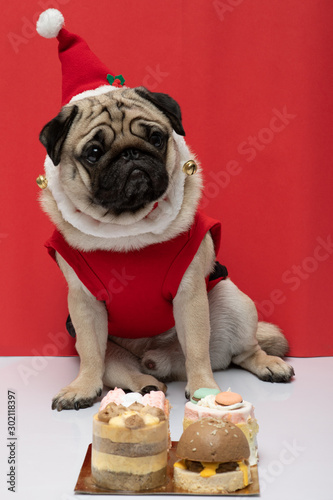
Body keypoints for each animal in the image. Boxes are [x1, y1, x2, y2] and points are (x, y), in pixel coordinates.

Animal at [39, 85, 294, 410]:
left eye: (156, 138)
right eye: (93, 153)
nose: (130, 153)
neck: (127, 230)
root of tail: (164, 362)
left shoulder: (190, 296)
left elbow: (196, 348)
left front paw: (203, 388)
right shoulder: (84, 305)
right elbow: (91, 354)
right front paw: (82, 387)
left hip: (236, 303)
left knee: (243, 352)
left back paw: (268, 363)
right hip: (104, 347)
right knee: (116, 367)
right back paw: (146, 385)